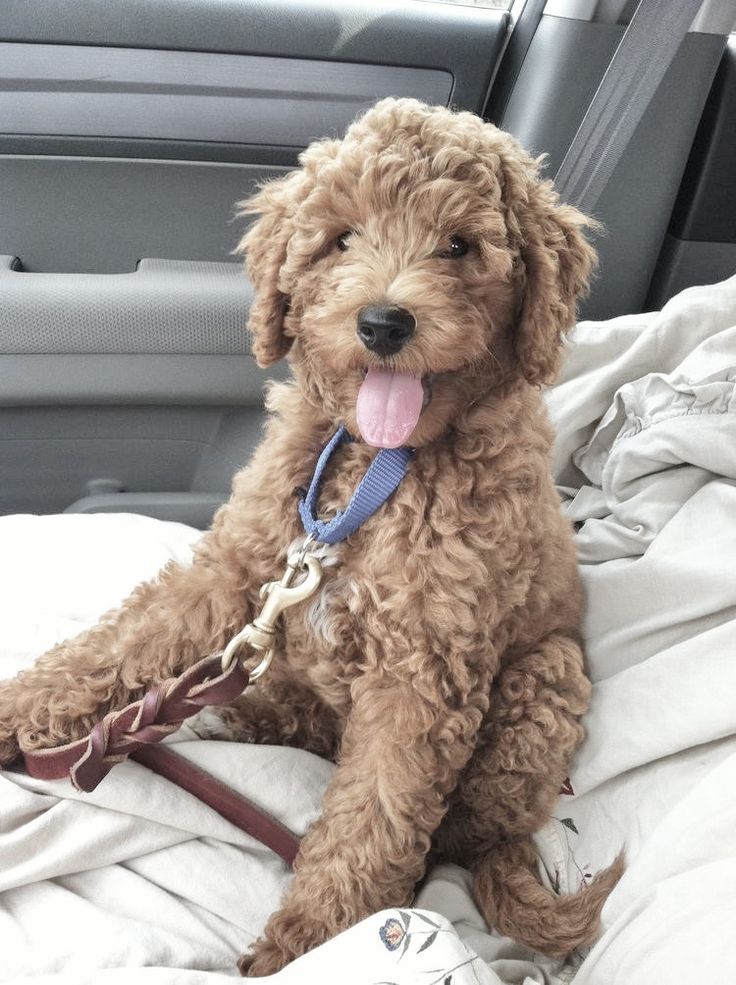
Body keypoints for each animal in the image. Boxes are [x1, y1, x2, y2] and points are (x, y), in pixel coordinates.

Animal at [0, 96, 620, 972]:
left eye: (459, 245)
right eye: (342, 238)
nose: (385, 321)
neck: (377, 464)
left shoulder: (425, 664)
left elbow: (379, 809)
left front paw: (313, 940)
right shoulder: (240, 565)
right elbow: (120, 640)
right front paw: (14, 712)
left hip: (548, 674)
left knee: (464, 830)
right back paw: (238, 713)